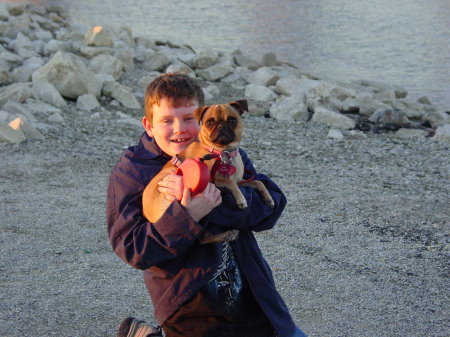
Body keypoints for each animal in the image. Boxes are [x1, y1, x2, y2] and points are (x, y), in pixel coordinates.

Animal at [142, 98, 274, 243]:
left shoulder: (240, 181)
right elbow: (230, 183)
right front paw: (241, 199)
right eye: (210, 122)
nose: (221, 126)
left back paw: (227, 235)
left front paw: (268, 198)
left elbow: (257, 182)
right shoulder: (215, 179)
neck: (223, 153)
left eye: (232, 120)